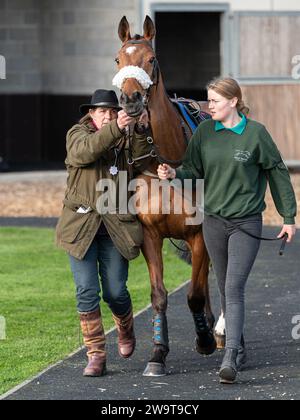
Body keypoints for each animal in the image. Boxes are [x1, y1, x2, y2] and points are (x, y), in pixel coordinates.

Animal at [112, 17, 216, 378]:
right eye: (118, 59)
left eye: (151, 59)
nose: (130, 99)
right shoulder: (150, 234)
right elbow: (159, 294)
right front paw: (158, 353)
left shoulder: (199, 233)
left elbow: (195, 293)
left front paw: (205, 340)